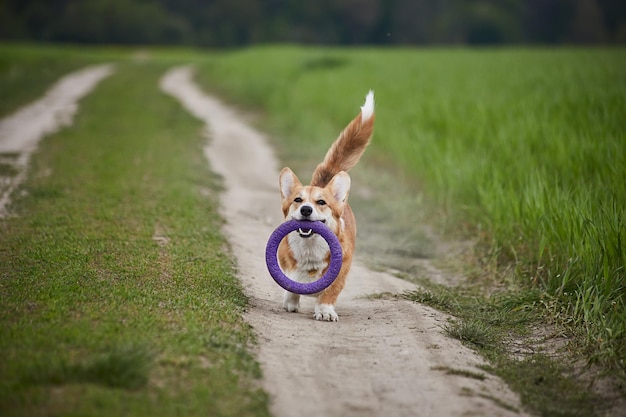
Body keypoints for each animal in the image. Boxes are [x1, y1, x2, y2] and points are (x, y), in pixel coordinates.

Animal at [276, 89, 372, 320]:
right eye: (298, 200)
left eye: (321, 202)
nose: (306, 209)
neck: (310, 249)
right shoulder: (286, 267)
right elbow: (290, 284)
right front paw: (290, 302)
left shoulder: (341, 272)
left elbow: (330, 292)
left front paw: (325, 311)